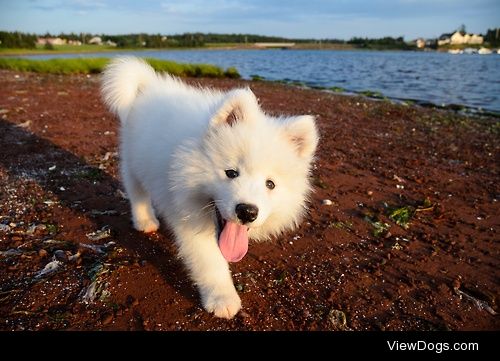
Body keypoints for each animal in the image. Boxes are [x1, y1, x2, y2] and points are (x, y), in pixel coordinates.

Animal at [101, 57, 318, 318]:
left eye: (270, 184)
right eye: (231, 173)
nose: (247, 211)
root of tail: (150, 84)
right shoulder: (189, 221)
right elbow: (210, 262)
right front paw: (222, 299)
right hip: (133, 162)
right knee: (137, 193)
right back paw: (145, 221)